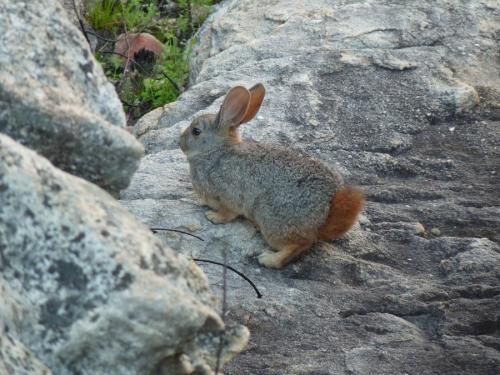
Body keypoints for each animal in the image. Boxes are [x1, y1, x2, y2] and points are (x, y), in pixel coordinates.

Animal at [180, 83, 364, 268]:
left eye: (196, 131)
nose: (180, 143)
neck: (215, 151)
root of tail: (327, 212)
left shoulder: (228, 194)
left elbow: (228, 213)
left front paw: (213, 217)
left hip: (269, 217)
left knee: (298, 245)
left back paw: (268, 259)